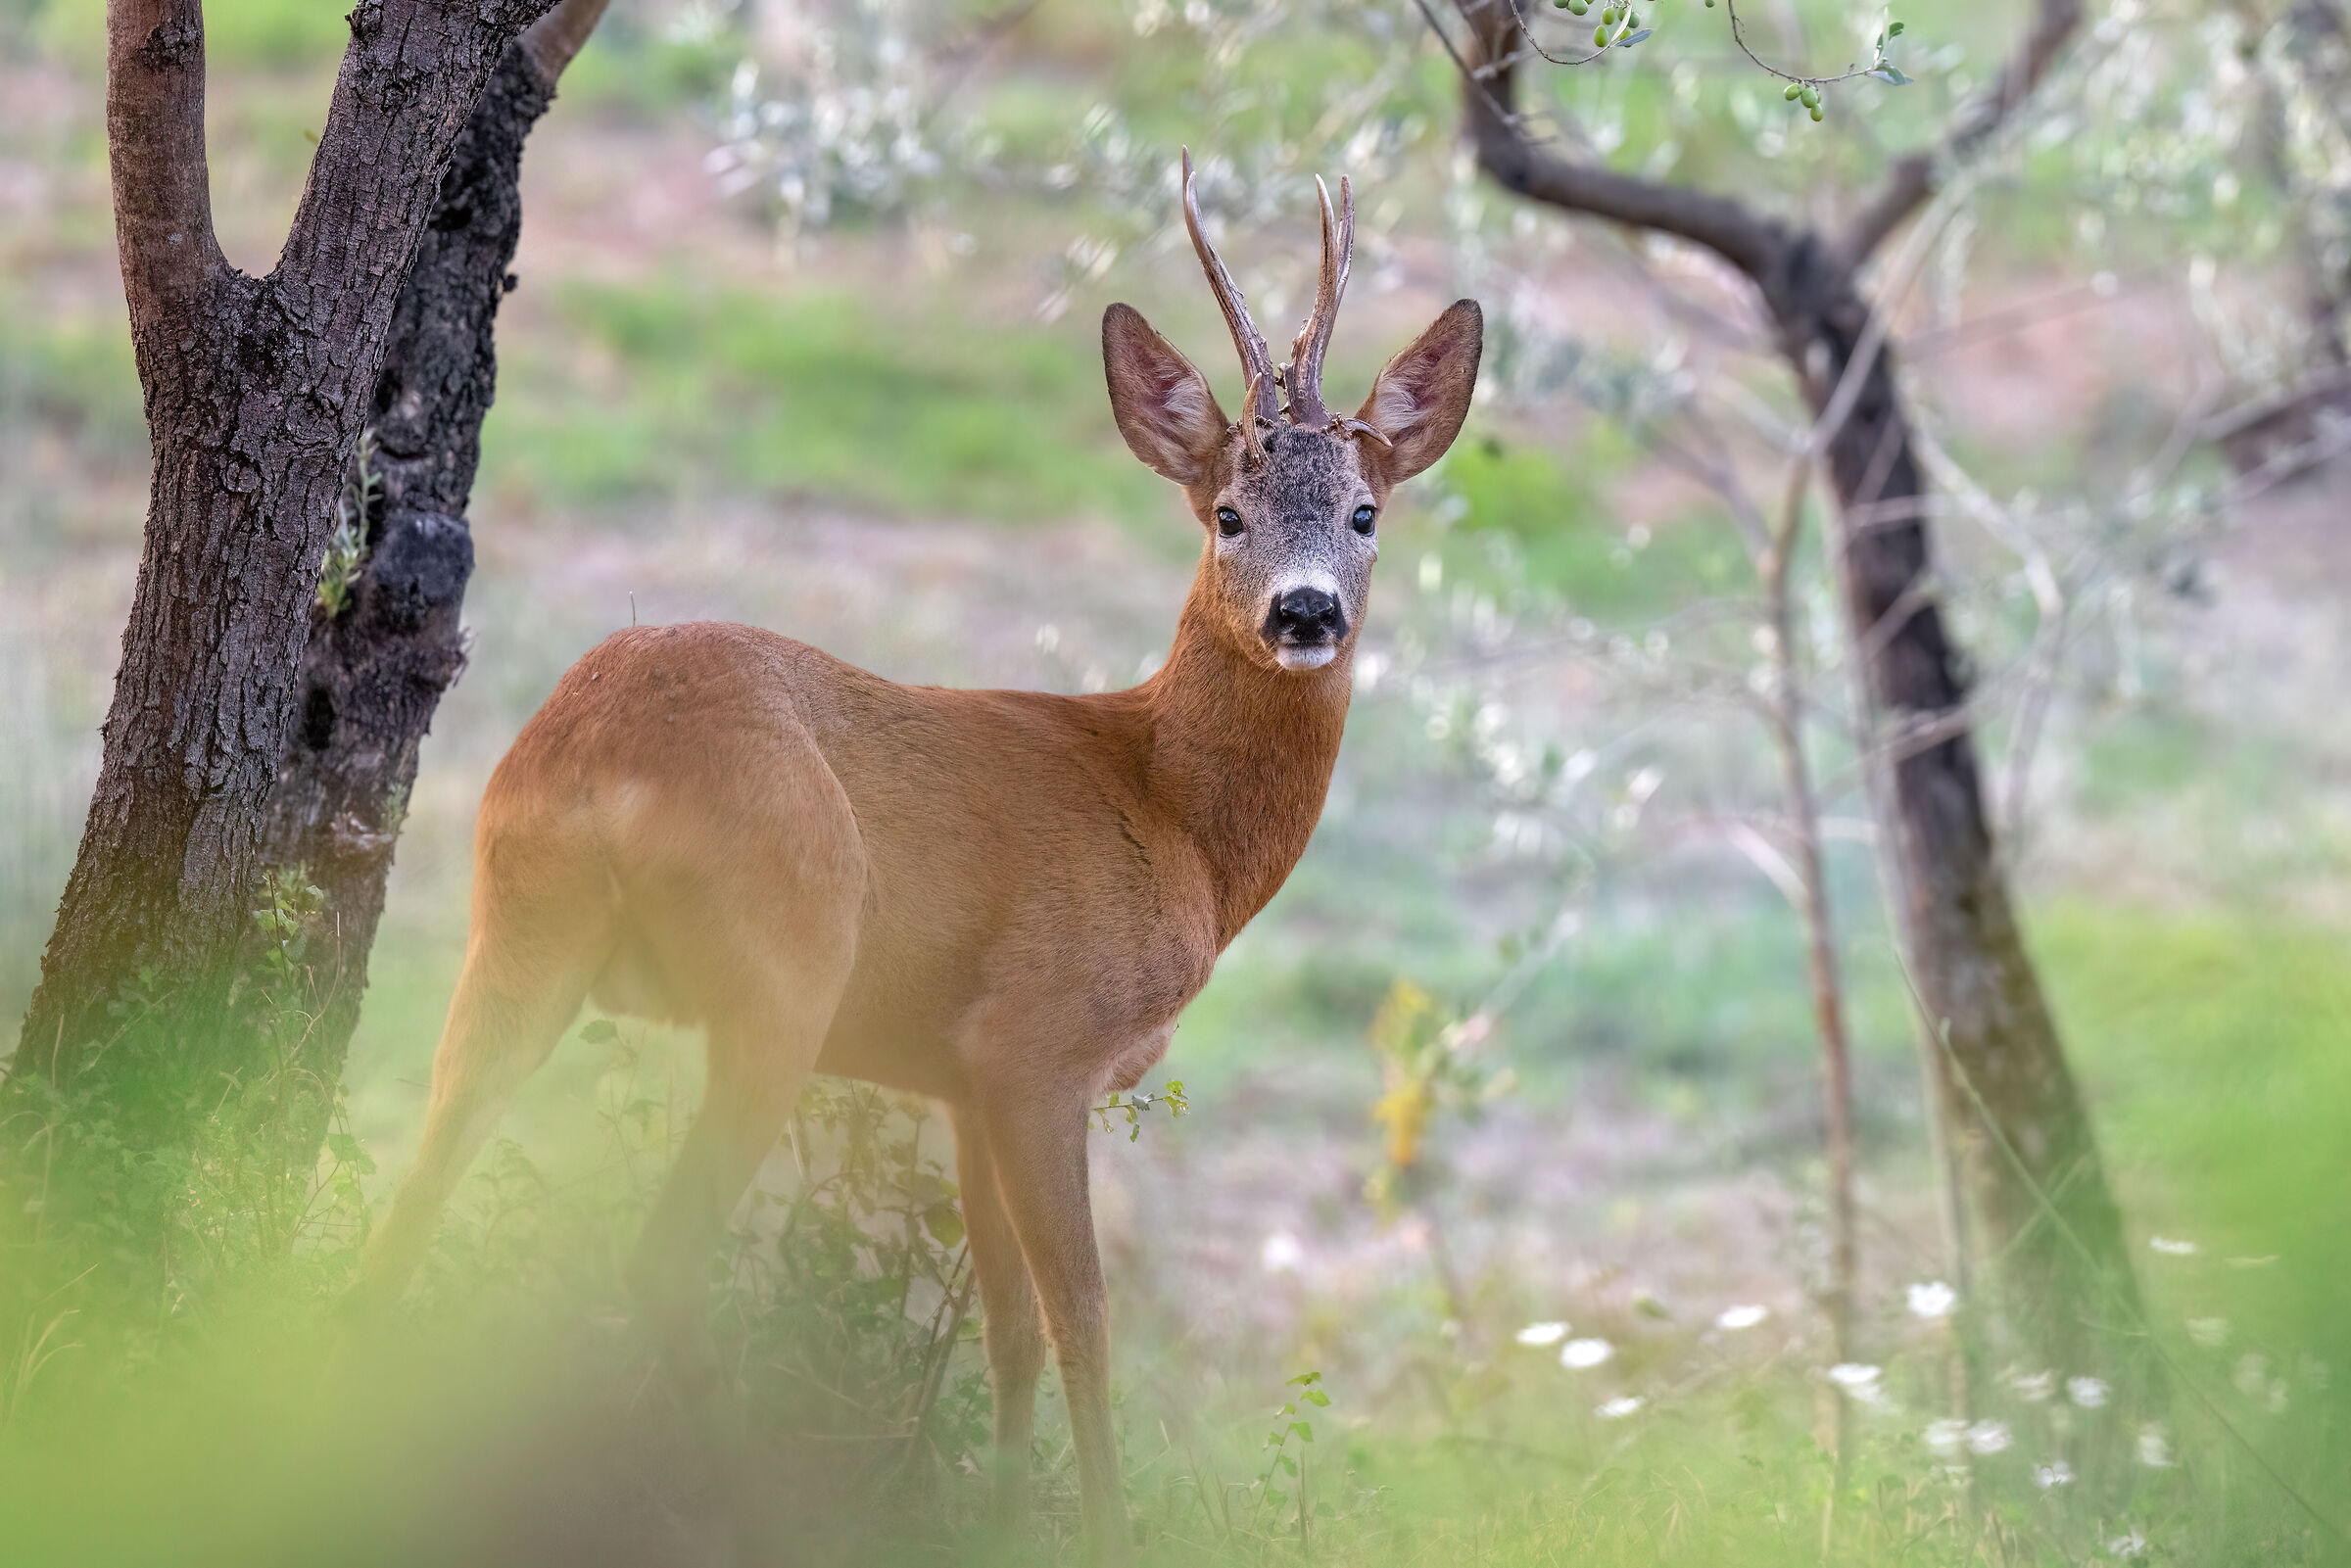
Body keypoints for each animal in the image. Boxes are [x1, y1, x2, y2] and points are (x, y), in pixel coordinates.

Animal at [348, 151, 1481, 1561]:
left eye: (1366, 512)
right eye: (1227, 512)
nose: (1307, 609)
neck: (1174, 813)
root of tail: (598, 759)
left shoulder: (958, 1077)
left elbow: (1005, 1330)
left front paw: (995, 1512)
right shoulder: (1038, 1043)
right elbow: (1082, 1320)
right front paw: (1103, 1524)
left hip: (513, 928)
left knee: (409, 1199)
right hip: (783, 961)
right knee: (660, 1253)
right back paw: (753, 1502)